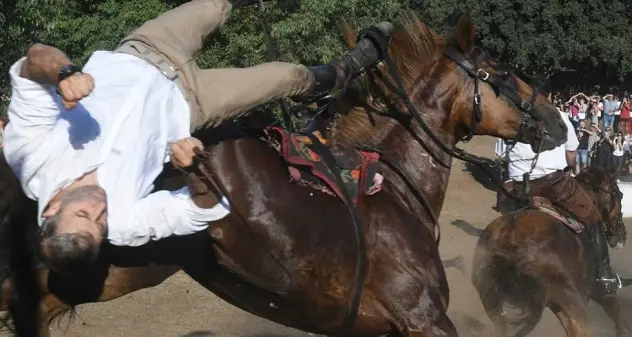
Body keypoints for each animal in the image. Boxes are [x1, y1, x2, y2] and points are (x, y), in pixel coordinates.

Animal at [474, 165, 632, 336]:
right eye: (620, 195)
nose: (622, 234)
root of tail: (509, 234)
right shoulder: (601, 293)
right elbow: (621, 322)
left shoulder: (557, 306)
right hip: (572, 300)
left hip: (492, 299)